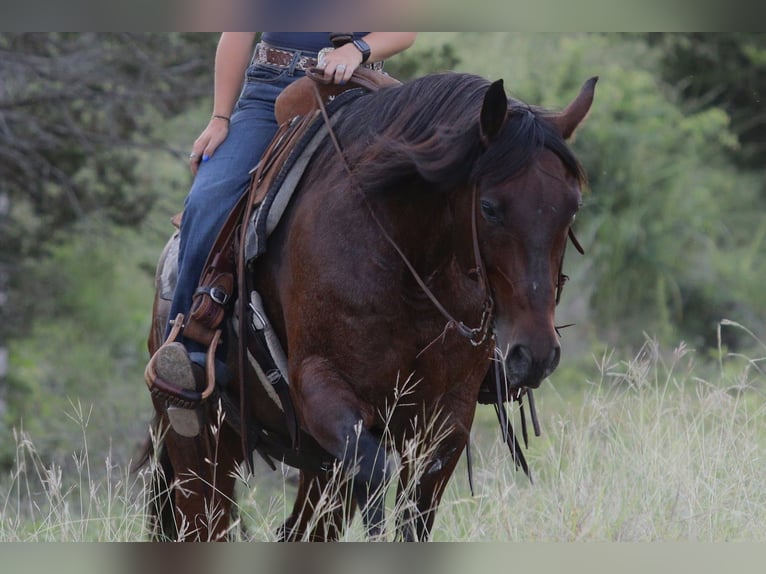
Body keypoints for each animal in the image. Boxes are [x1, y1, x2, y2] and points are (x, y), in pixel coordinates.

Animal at [139, 71, 597, 541]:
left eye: (572, 207)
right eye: (488, 208)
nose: (535, 353)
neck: (409, 263)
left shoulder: (447, 421)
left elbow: (414, 516)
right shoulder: (322, 388)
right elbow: (375, 477)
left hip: (313, 465)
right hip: (200, 451)